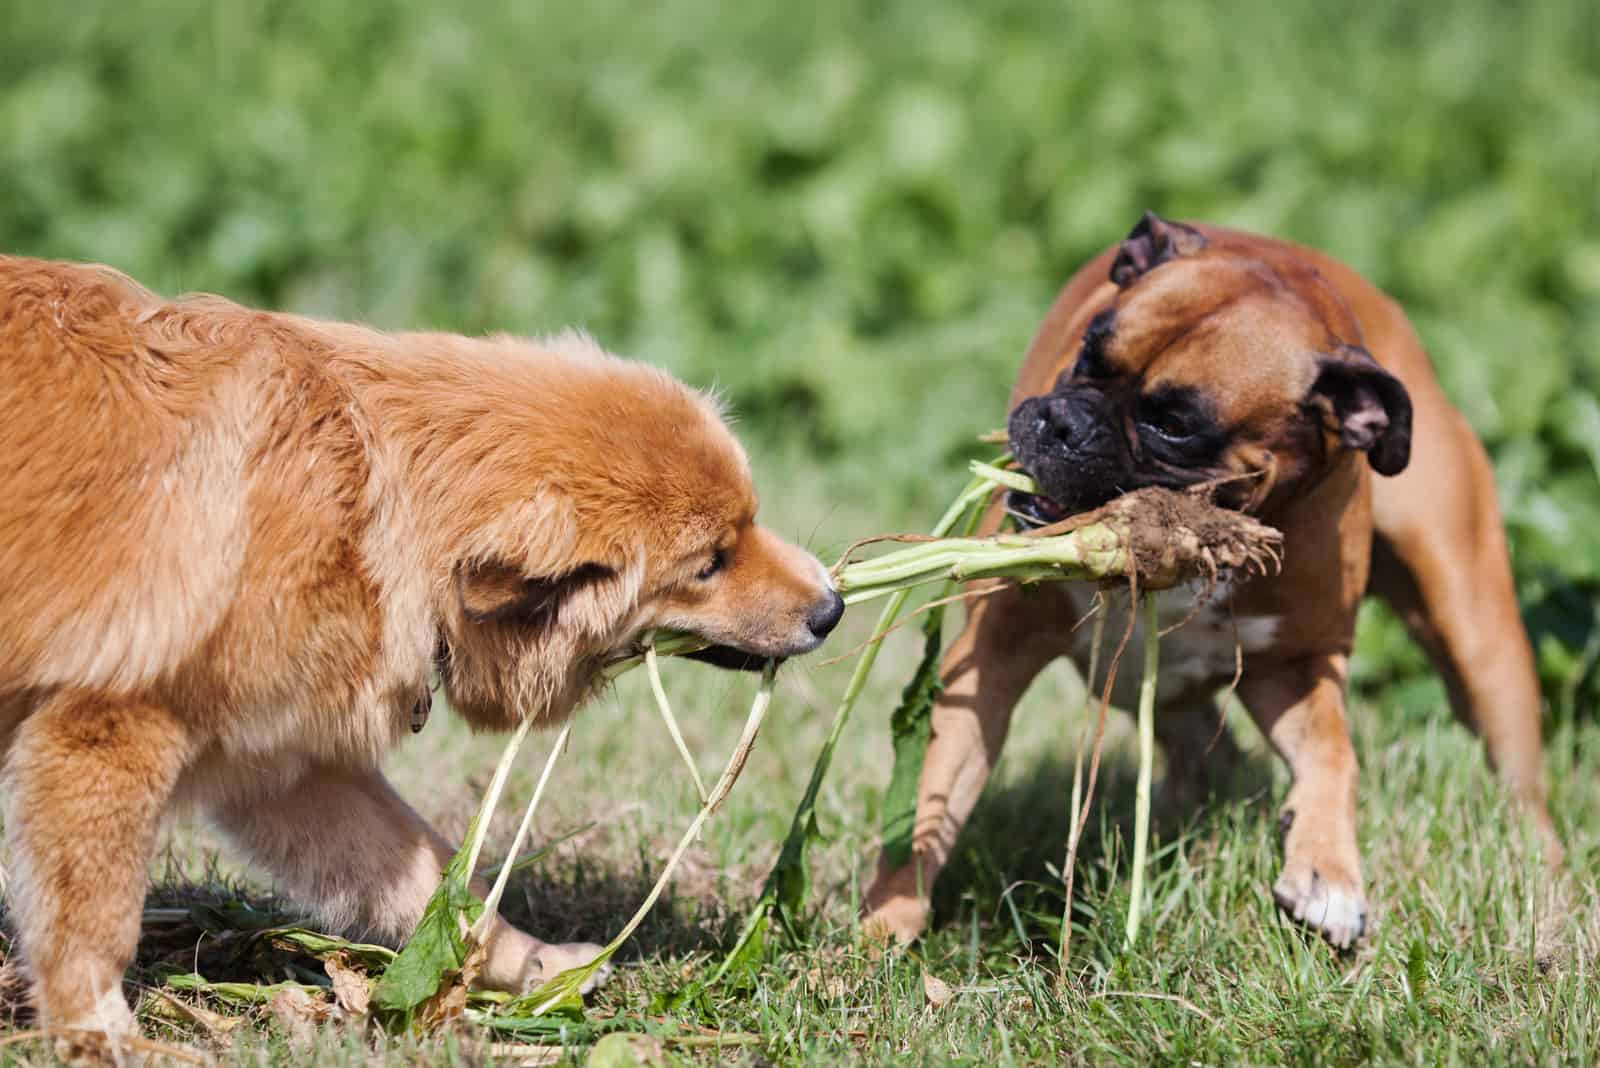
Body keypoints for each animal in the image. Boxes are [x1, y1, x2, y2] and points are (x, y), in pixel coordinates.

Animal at [0, 255, 851, 1036]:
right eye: (711, 563)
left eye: (751, 520)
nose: (834, 608)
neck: (377, 483)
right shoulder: (105, 731)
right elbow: (90, 923)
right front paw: (99, 1029)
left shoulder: (284, 768)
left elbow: (431, 884)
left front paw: (536, 970)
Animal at [870, 212, 1555, 946]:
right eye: (1087, 354)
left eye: (1174, 426)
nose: (1061, 422)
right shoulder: (992, 658)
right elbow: (930, 792)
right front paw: (882, 928)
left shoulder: (1298, 667)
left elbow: (1334, 754)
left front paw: (1328, 873)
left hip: (1476, 629)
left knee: (1517, 777)